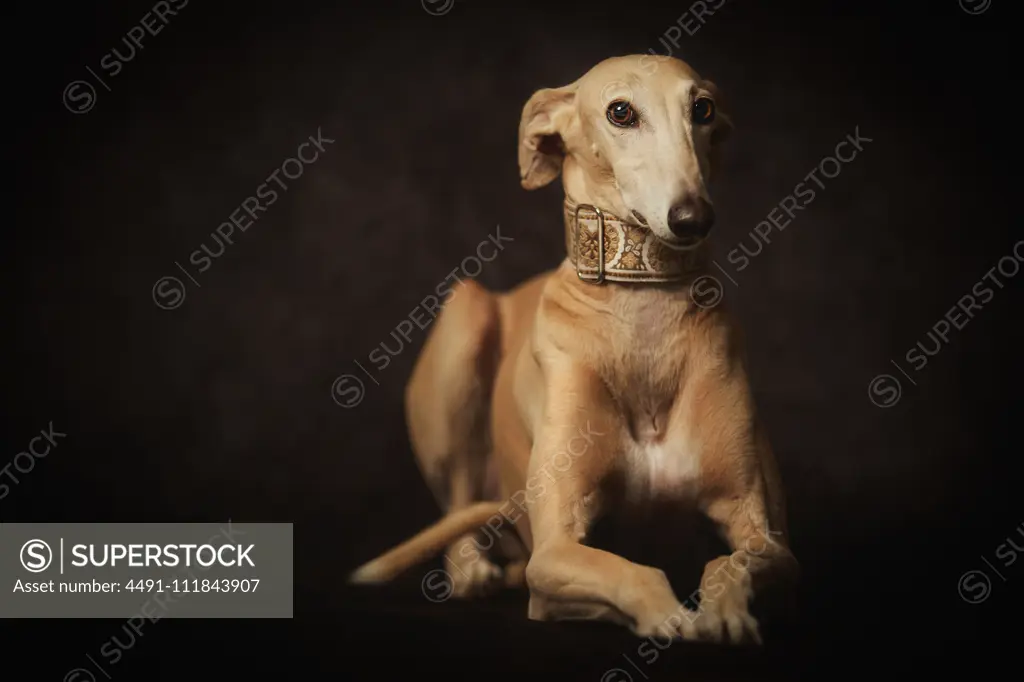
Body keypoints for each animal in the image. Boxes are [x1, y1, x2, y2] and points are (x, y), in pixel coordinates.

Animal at [352, 54, 798, 643]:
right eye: (620, 112)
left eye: (702, 109)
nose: (693, 217)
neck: (641, 313)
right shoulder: (555, 552)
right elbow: (635, 572)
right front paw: (672, 617)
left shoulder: (766, 536)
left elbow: (731, 562)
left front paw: (723, 613)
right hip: (465, 320)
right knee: (459, 509)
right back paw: (473, 571)